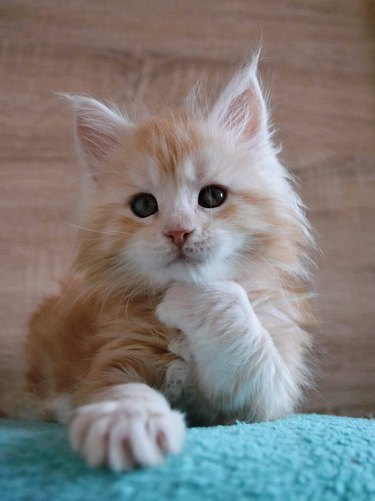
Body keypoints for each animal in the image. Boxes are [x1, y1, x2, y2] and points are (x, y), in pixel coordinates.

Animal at [24, 55, 314, 472]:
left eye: (213, 197)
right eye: (145, 205)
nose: (179, 232)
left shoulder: (261, 394)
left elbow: (248, 339)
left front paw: (197, 297)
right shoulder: (115, 355)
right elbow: (124, 390)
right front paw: (127, 422)